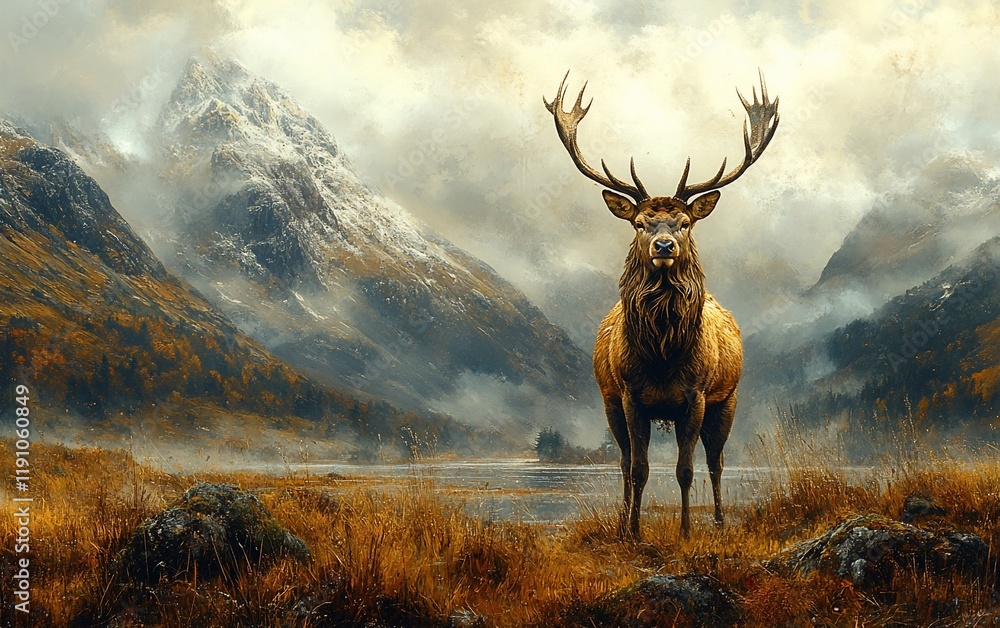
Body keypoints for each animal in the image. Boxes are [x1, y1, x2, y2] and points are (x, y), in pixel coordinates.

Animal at [544, 72, 779, 539]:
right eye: (639, 223)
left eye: (685, 223)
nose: (664, 245)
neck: (663, 353)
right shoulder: (630, 395)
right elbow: (638, 468)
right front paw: (633, 531)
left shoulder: (697, 395)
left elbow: (686, 469)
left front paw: (687, 531)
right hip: (610, 403)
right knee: (622, 462)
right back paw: (621, 520)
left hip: (729, 400)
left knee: (716, 462)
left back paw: (720, 519)